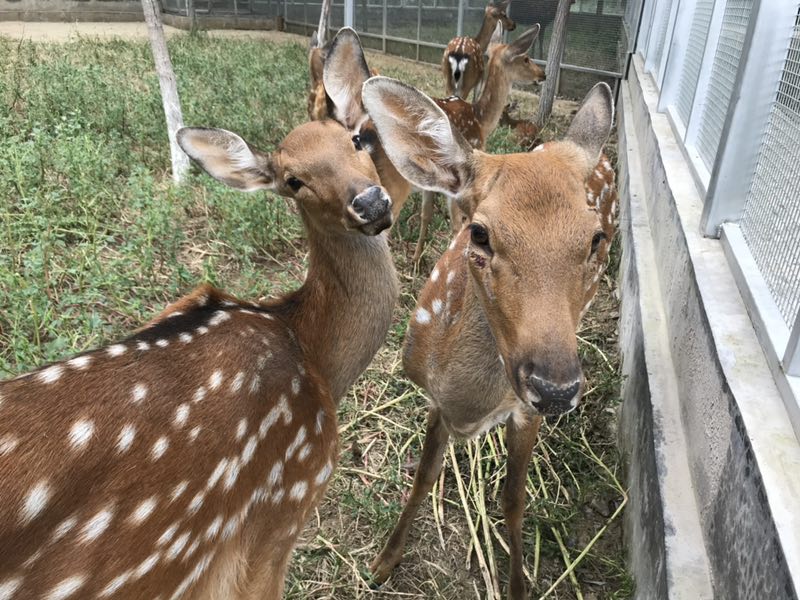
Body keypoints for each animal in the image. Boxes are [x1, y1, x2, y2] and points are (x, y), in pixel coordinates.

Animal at [362, 76, 620, 600]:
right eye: (479, 233)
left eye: (594, 238)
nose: (557, 389)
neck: (471, 406)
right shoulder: (435, 400)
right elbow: (424, 477)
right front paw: (383, 561)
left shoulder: (525, 411)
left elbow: (513, 501)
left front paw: (519, 585)